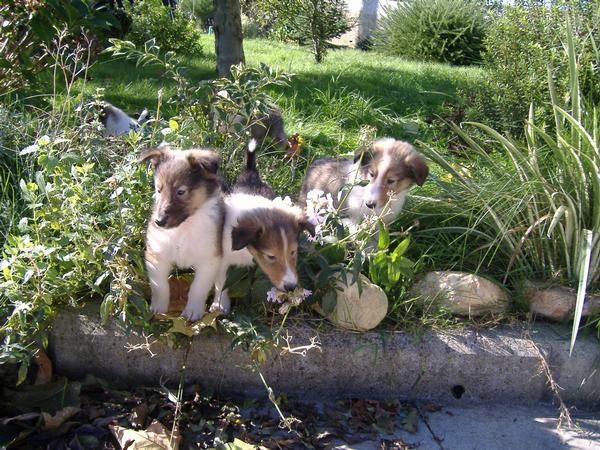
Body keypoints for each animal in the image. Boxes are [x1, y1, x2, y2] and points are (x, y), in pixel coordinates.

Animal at [139, 144, 224, 320]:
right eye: (159, 190)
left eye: (180, 192)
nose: (158, 222)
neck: (183, 229)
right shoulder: (156, 257)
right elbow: (160, 286)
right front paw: (159, 309)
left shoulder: (209, 260)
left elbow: (198, 288)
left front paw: (193, 311)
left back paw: (219, 305)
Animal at [210, 146, 316, 314]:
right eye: (270, 256)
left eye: (293, 252)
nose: (291, 287)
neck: (247, 250)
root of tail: (251, 174)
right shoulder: (223, 259)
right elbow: (221, 283)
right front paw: (219, 305)